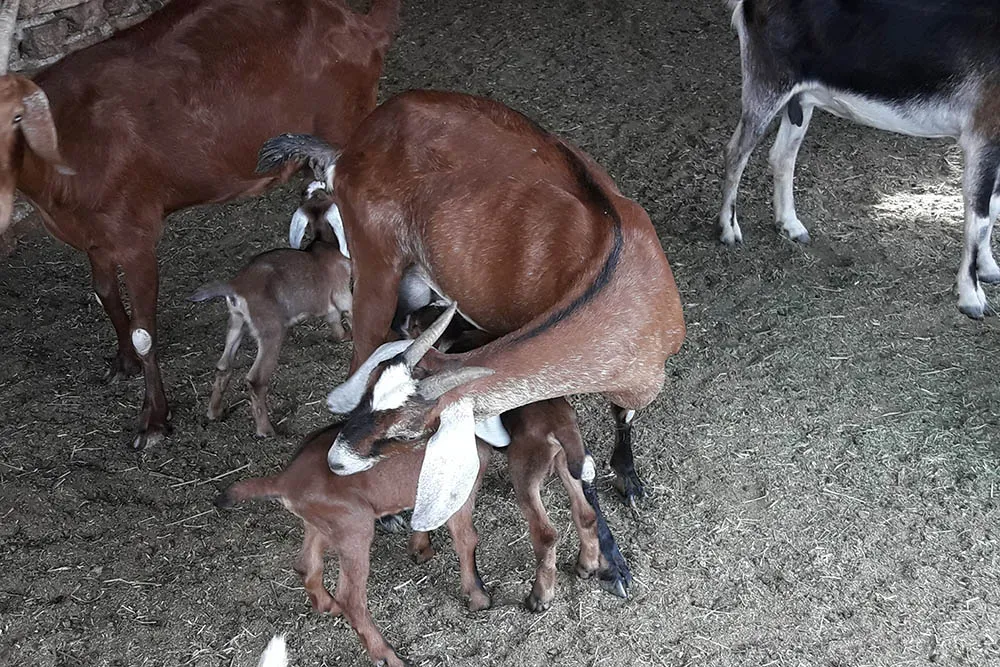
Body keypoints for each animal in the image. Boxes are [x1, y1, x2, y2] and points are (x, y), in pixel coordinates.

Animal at [191, 186, 351, 437]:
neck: (323, 245)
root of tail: (236, 287)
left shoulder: (329, 306)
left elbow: (336, 326)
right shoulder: (345, 297)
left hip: (236, 323)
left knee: (223, 365)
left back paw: (214, 413)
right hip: (270, 331)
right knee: (256, 380)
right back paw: (265, 430)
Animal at [217, 422, 494, 667]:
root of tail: (286, 480)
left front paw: (420, 548)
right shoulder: (461, 488)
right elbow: (467, 538)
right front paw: (478, 597)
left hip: (323, 523)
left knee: (307, 565)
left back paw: (329, 606)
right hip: (354, 526)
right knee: (351, 597)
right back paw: (387, 655)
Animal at [256, 90, 686, 534]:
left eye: (408, 435)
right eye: (365, 397)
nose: (337, 460)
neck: (617, 281)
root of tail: (355, 143)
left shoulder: (643, 377)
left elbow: (623, 416)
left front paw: (629, 479)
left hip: (415, 279)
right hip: (375, 261)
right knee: (363, 344)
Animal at [719, 0, 1000, 319]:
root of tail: (748, 4)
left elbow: (993, 206)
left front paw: (989, 268)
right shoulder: (981, 133)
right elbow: (979, 216)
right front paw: (971, 297)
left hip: (801, 98)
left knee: (782, 155)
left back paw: (791, 225)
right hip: (766, 82)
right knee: (736, 151)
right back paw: (728, 230)